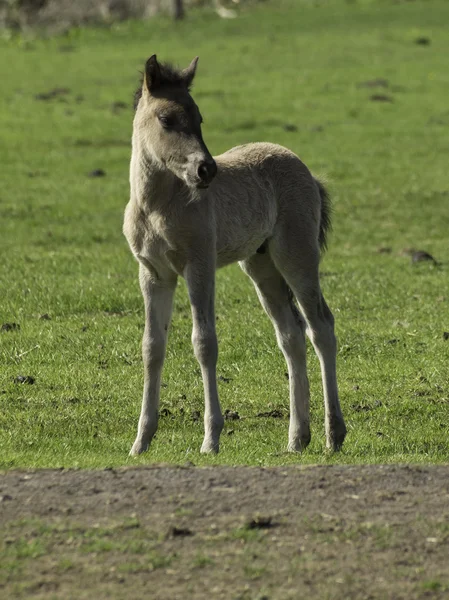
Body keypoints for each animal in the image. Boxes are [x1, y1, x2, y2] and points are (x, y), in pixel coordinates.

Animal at [123, 56, 346, 458]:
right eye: (166, 119)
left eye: (199, 117)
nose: (206, 169)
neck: (157, 206)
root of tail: (306, 170)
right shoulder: (153, 273)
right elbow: (152, 347)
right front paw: (141, 442)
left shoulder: (199, 265)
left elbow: (204, 342)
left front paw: (211, 439)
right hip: (261, 265)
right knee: (290, 335)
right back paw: (296, 438)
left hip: (296, 256)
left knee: (320, 326)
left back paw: (333, 435)